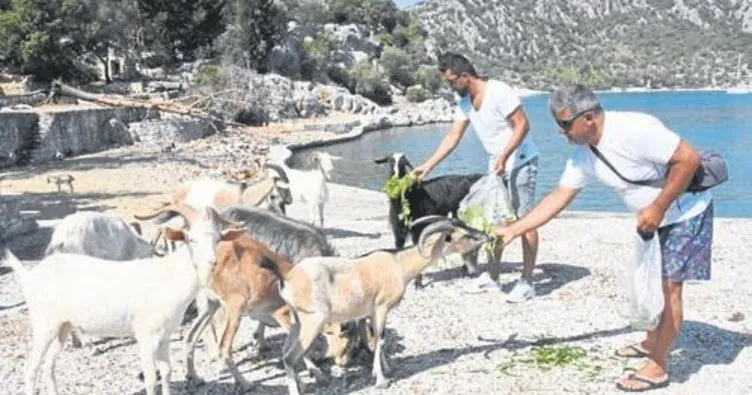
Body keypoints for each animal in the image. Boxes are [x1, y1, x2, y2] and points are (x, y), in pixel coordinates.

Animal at [2, 204, 244, 395]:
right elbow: (150, 378)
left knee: (49, 365)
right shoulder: (146, 337)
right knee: (31, 369)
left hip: (63, 326)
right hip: (45, 325)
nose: (212, 263)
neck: (167, 277)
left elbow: (166, 372)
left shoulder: (164, 337)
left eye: (218, 238)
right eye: (191, 239)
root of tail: (30, 276)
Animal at [260, 217, 494, 395]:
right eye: (465, 235)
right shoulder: (381, 306)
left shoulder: (374, 312)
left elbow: (378, 337)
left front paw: (388, 368)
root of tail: (287, 280)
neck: (398, 264)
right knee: (290, 357)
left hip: (297, 321)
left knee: (285, 354)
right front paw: (381, 379)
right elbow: (379, 339)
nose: (487, 236)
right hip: (313, 321)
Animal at [374, 152, 484, 288]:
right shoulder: (398, 231)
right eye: (390, 162)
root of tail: (470, 178)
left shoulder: (417, 230)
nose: (396, 177)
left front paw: (418, 283)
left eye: (404, 163)